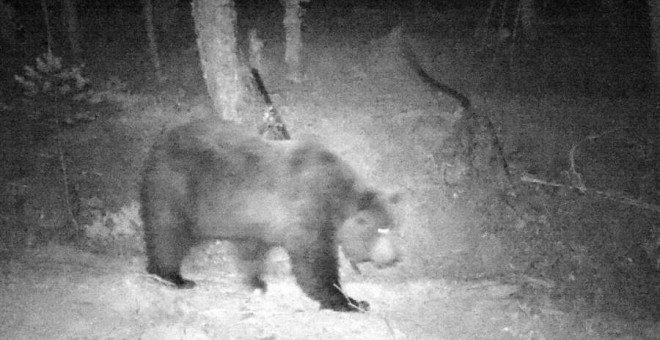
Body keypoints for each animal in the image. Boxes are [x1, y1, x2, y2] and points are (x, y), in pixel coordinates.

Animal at [141, 118, 400, 312]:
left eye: (393, 227)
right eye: (380, 229)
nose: (393, 258)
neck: (336, 200)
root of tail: (161, 141)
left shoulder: (257, 221)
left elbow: (252, 251)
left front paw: (256, 282)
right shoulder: (309, 210)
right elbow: (313, 261)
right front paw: (350, 301)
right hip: (176, 188)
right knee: (167, 234)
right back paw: (173, 277)